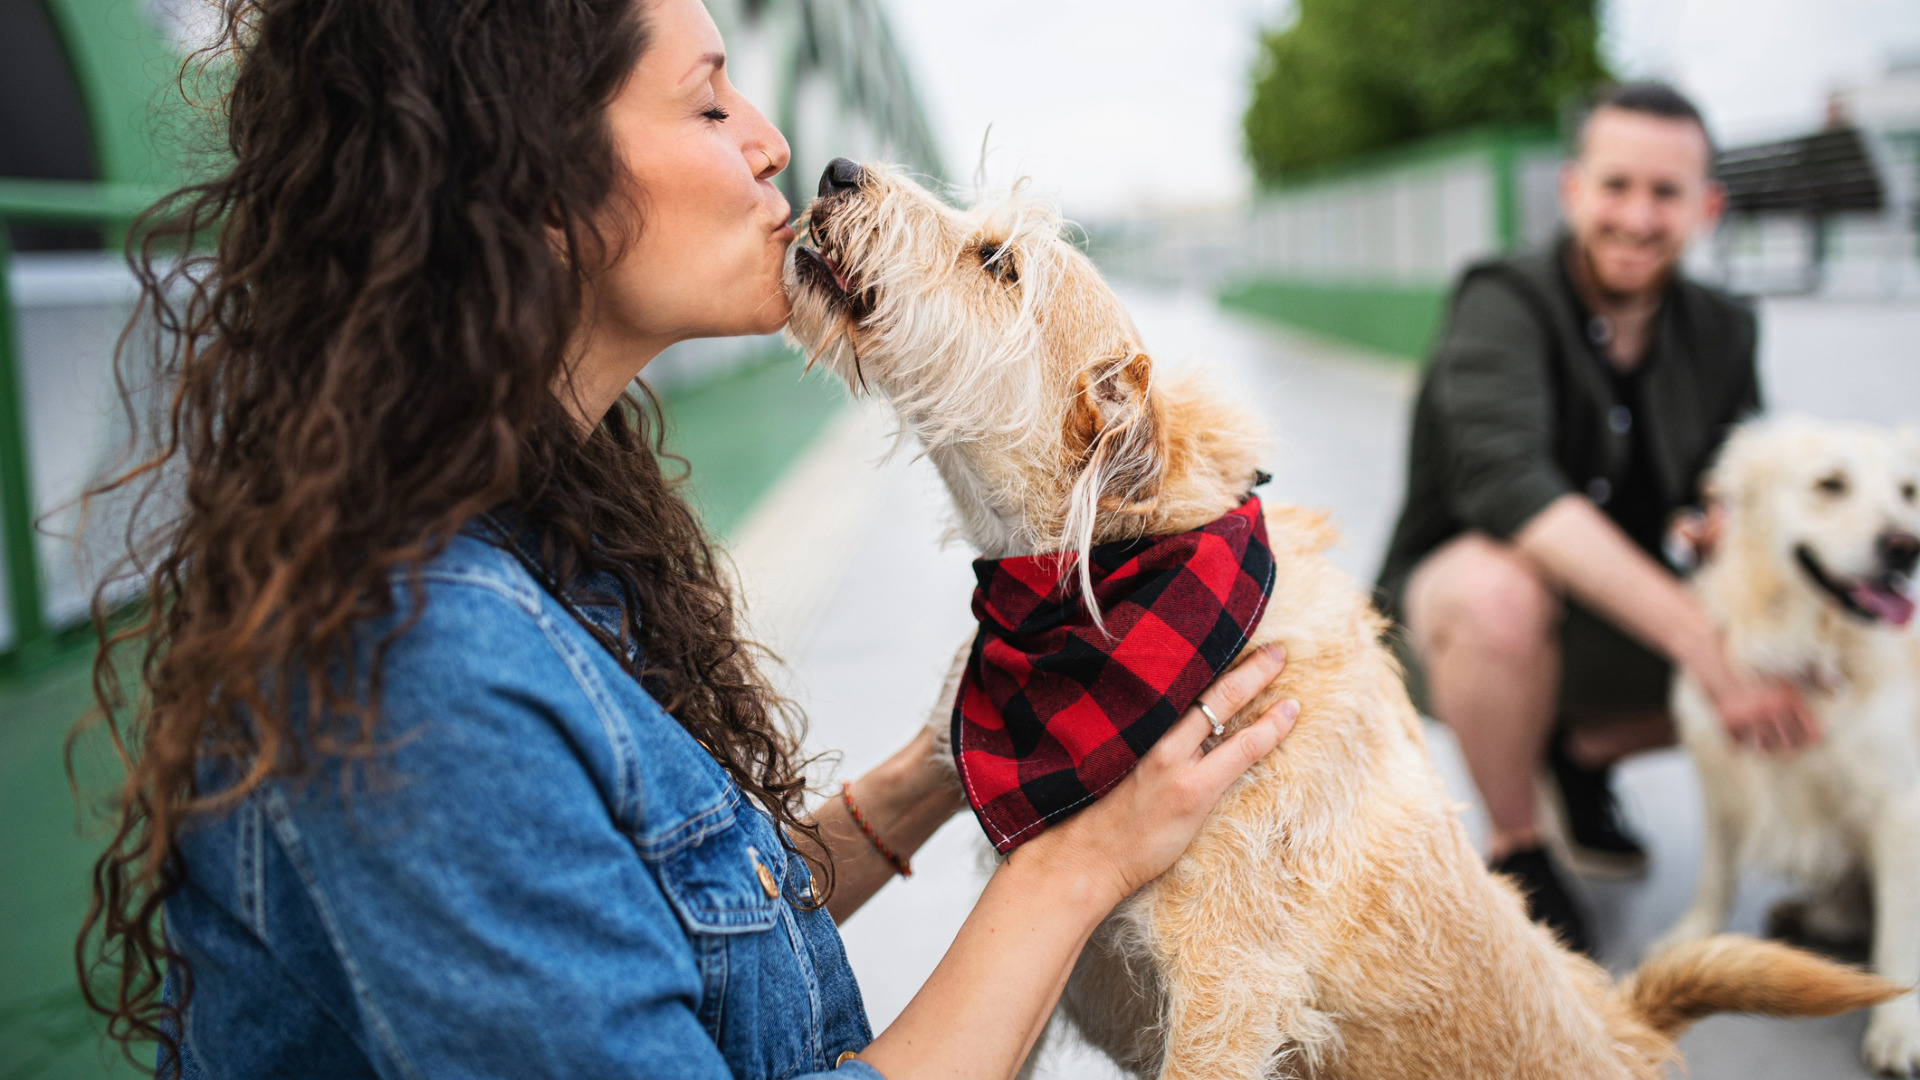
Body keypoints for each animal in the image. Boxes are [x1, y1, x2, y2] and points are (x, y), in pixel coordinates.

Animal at [1651, 413, 1920, 1068]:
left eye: (1908, 492)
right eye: (1830, 484)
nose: (1907, 548)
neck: (1807, 651)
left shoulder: (1900, 806)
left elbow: (1900, 933)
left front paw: (1898, 1028)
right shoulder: (1720, 766)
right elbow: (1716, 869)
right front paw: (1694, 937)